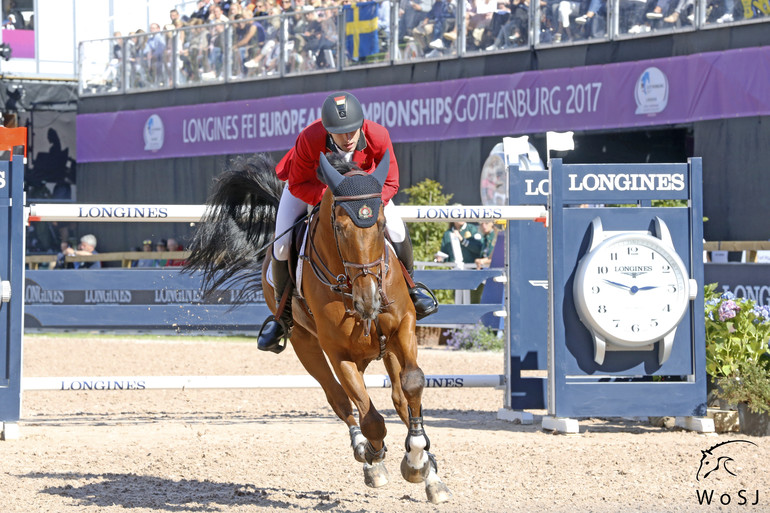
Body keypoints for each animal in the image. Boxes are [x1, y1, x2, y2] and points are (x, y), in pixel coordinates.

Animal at [184, 150, 450, 502]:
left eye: (381, 226)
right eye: (339, 226)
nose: (369, 301)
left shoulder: (403, 329)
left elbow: (412, 386)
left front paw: (419, 460)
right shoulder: (338, 354)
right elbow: (371, 419)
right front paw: (373, 456)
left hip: (385, 349)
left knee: (397, 398)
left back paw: (428, 472)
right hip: (306, 345)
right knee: (340, 400)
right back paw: (366, 454)